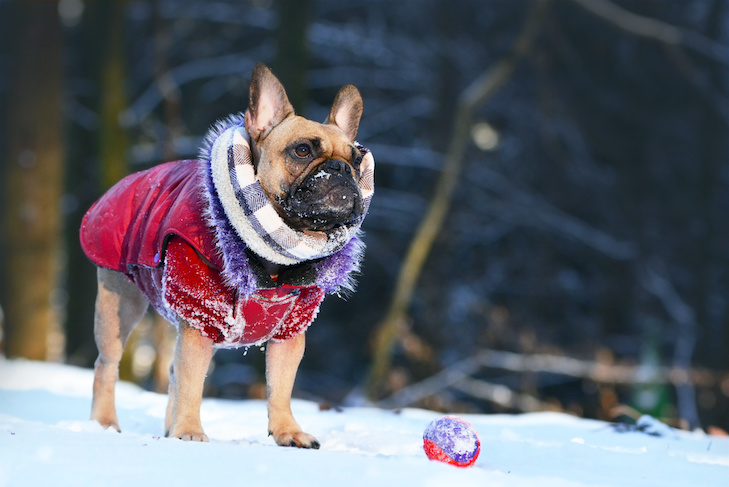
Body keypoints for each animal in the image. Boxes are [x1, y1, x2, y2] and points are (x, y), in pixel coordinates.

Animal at [82, 65, 372, 450]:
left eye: (357, 160)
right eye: (302, 150)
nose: (341, 170)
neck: (274, 252)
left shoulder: (289, 332)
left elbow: (281, 387)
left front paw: (288, 431)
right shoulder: (200, 318)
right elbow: (192, 382)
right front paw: (190, 430)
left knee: (172, 373)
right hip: (119, 307)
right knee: (108, 366)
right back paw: (104, 424)